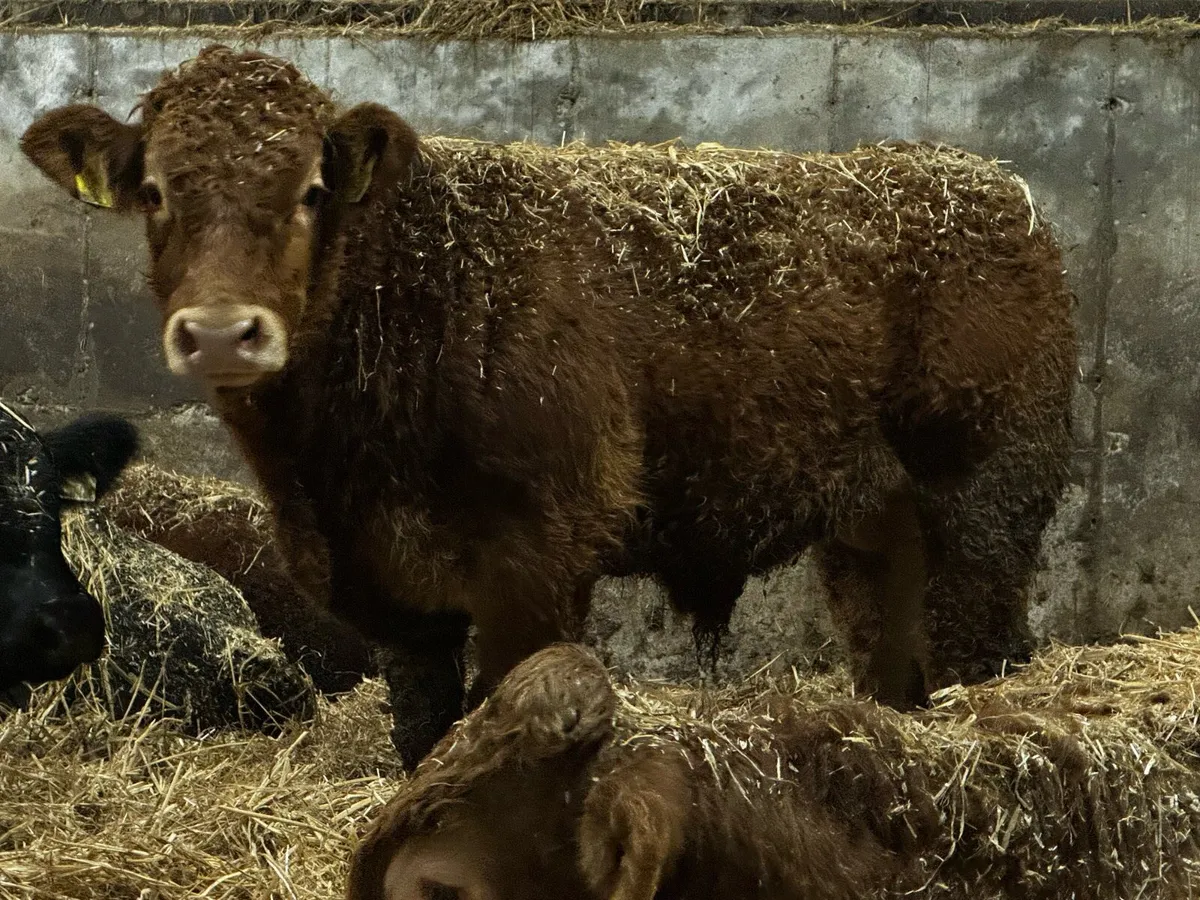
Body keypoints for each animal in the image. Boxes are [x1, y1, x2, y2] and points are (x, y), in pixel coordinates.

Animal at [20, 44, 1076, 766]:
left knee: (982, 654)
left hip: (986, 500)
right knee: (899, 666)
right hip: (871, 528)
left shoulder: (537, 558)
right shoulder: (390, 595)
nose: (221, 332)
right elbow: (424, 741)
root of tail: (991, 185)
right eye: (155, 191)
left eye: (315, 188)